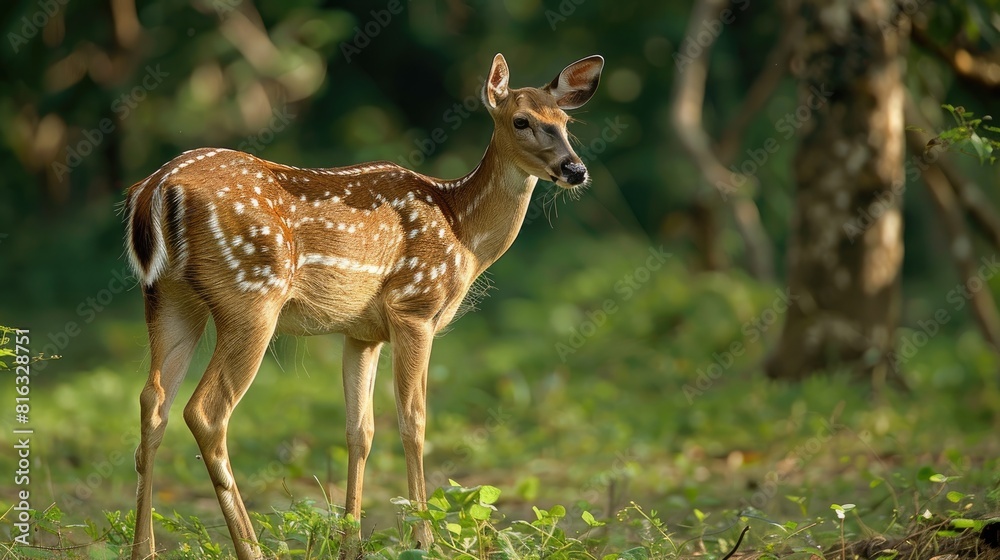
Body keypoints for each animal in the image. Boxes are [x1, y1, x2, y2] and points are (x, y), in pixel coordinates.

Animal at [124, 52, 603, 559]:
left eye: (566, 122)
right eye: (521, 121)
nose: (575, 169)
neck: (462, 231)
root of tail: (155, 188)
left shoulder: (362, 332)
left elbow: (360, 431)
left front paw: (350, 541)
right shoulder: (414, 307)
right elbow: (413, 422)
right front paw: (423, 536)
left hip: (167, 296)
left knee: (152, 403)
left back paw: (143, 549)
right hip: (251, 295)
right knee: (205, 411)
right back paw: (251, 547)